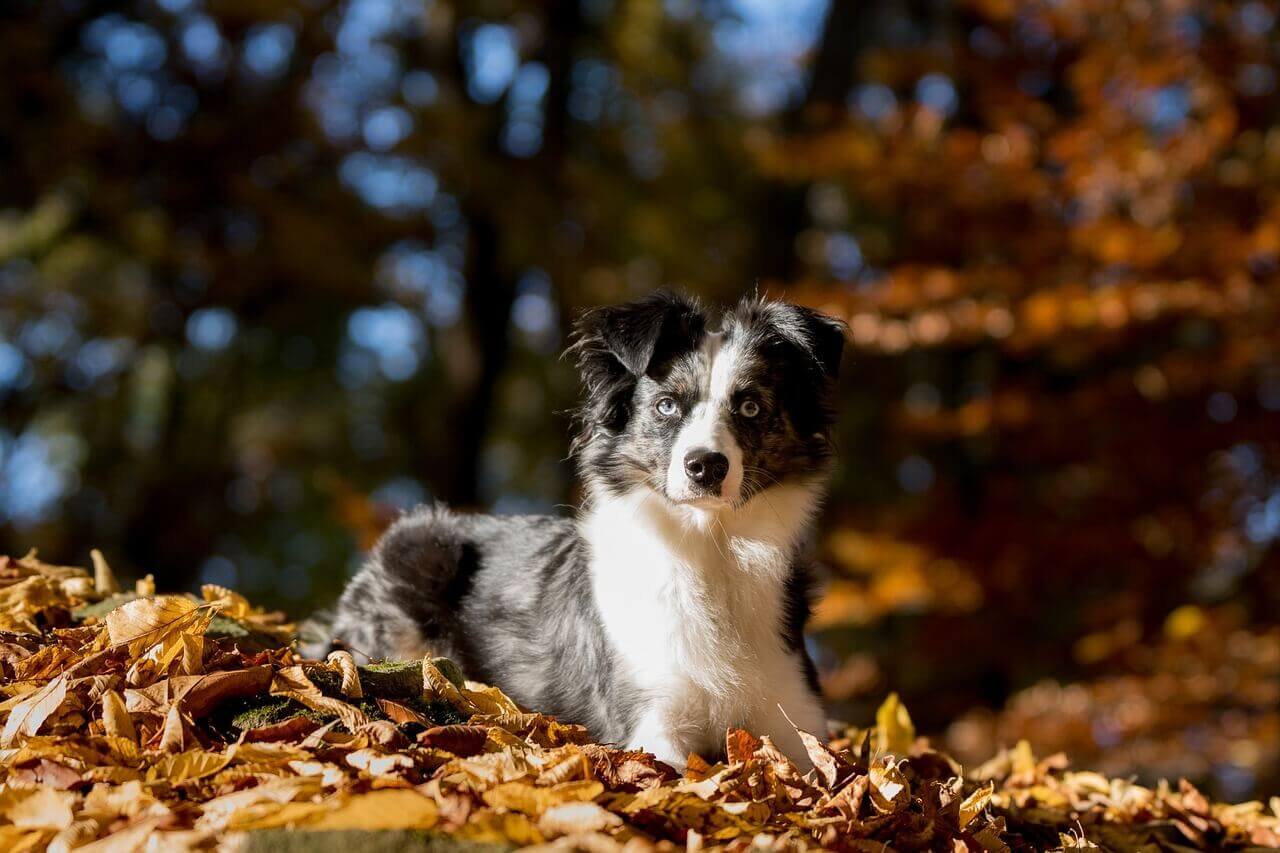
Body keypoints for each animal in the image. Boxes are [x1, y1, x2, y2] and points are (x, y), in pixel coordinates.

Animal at [335, 290, 844, 763]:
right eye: (665, 406)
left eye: (751, 408)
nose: (706, 466)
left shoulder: (796, 716)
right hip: (424, 548)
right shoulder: (651, 718)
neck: (708, 545)